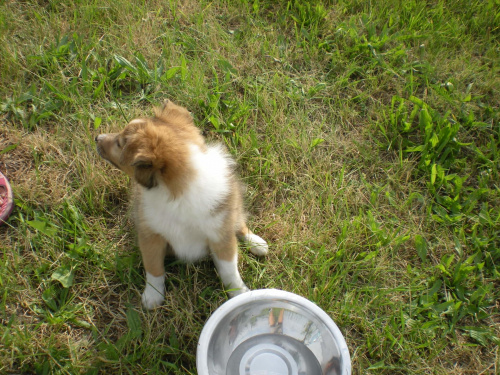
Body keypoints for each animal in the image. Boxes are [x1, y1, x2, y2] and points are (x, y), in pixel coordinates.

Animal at [97, 101, 270, 310]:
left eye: (120, 143)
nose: (97, 137)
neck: (176, 194)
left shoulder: (221, 236)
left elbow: (229, 270)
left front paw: (239, 294)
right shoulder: (151, 236)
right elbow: (154, 268)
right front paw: (152, 297)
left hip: (232, 208)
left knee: (240, 223)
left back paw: (256, 242)